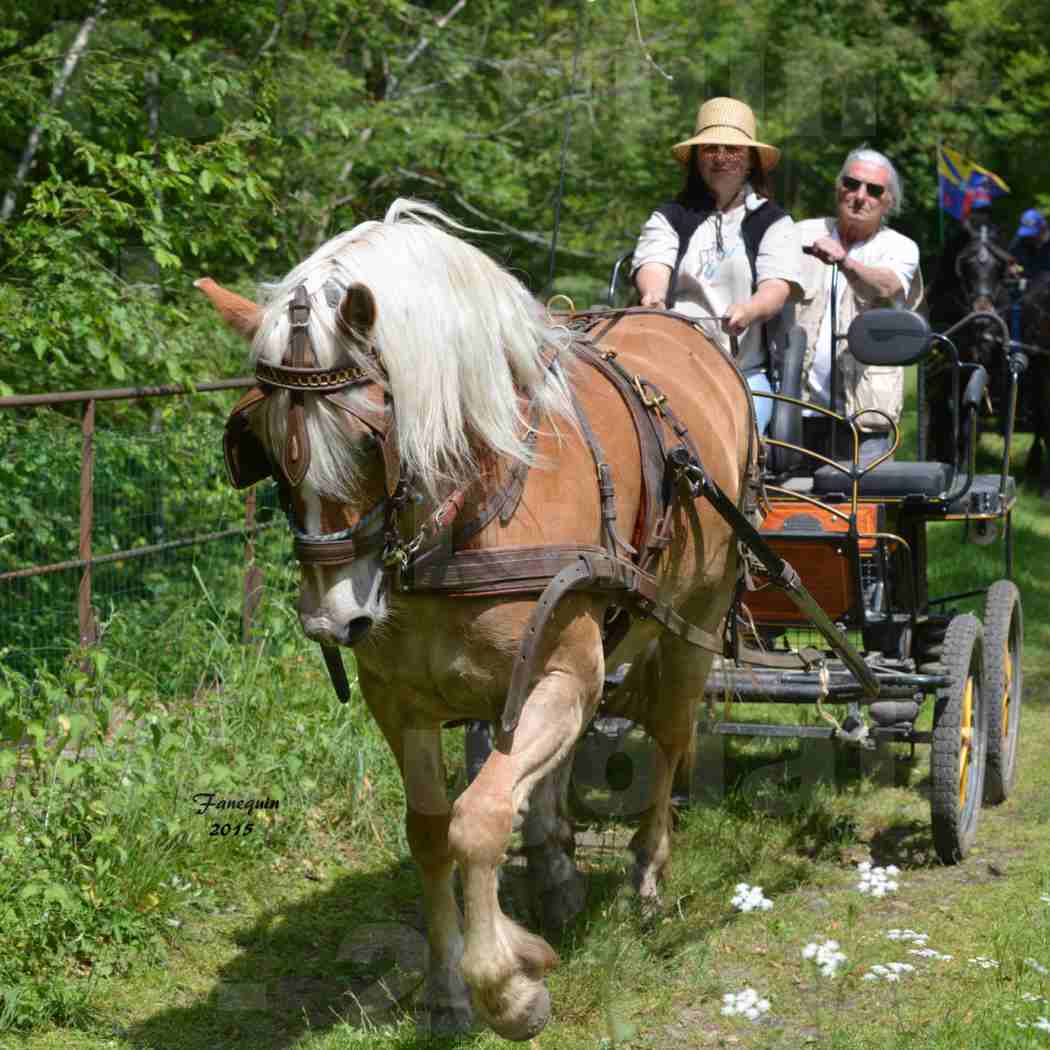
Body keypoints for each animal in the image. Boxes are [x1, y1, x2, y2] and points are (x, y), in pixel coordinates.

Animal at [197, 198, 755, 1041]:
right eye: (259, 444)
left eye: (366, 441)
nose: (333, 619)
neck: (466, 516)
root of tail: (685, 331)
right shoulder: (402, 701)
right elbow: (432, 831)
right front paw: (445, 988)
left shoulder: (563, 672)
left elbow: (479, 818)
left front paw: (509, 987)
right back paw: (556, 866)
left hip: (698, 613)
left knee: (667, 737)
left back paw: (648, 877)